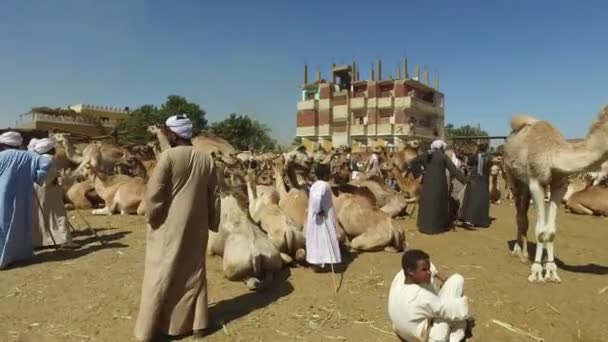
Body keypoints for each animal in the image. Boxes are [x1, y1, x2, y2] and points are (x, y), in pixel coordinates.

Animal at [502, 107, 608, 284]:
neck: (554, 154)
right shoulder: (536, 183)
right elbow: (540, 230)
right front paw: (537, 272)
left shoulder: (560, 185)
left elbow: (550, 231)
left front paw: (551, 270)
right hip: (513, 178)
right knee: (520, 216)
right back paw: (520, 253)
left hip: (525, 185)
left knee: (523, 215)